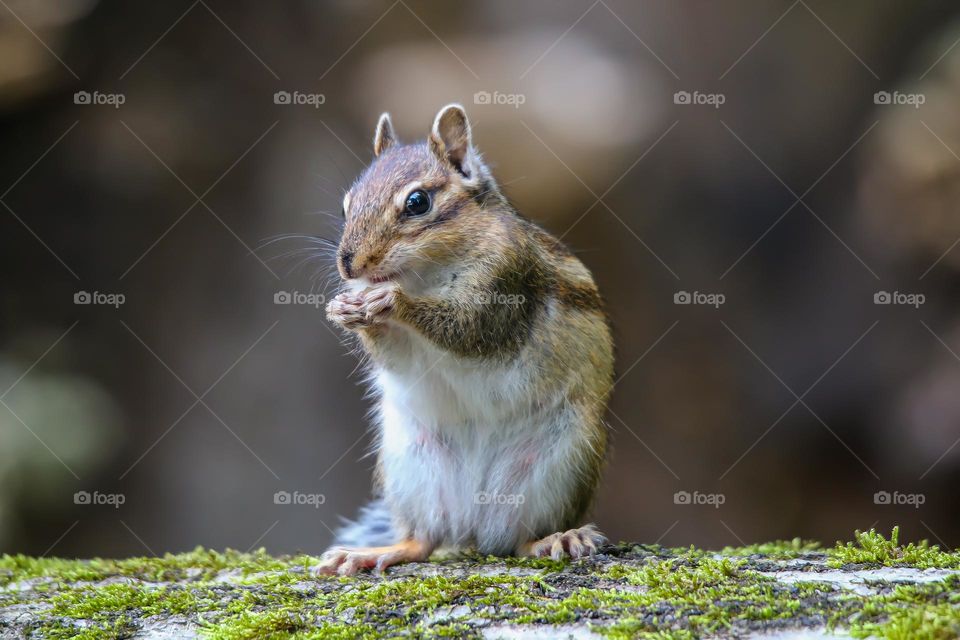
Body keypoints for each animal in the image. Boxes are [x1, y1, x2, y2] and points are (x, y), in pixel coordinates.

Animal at [315, 104, 614, 576]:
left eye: (418, 202)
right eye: (347, 204)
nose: (349, 266)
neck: (424, 274)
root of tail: (473, 526)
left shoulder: (504, 282)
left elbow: (468, 328)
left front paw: (392, 301)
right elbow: (395, 355)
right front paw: (346, 310)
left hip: (563, 461)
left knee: (520, 540)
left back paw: (559, 539)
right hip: (410, 466)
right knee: (423, 540)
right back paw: (372, 553)